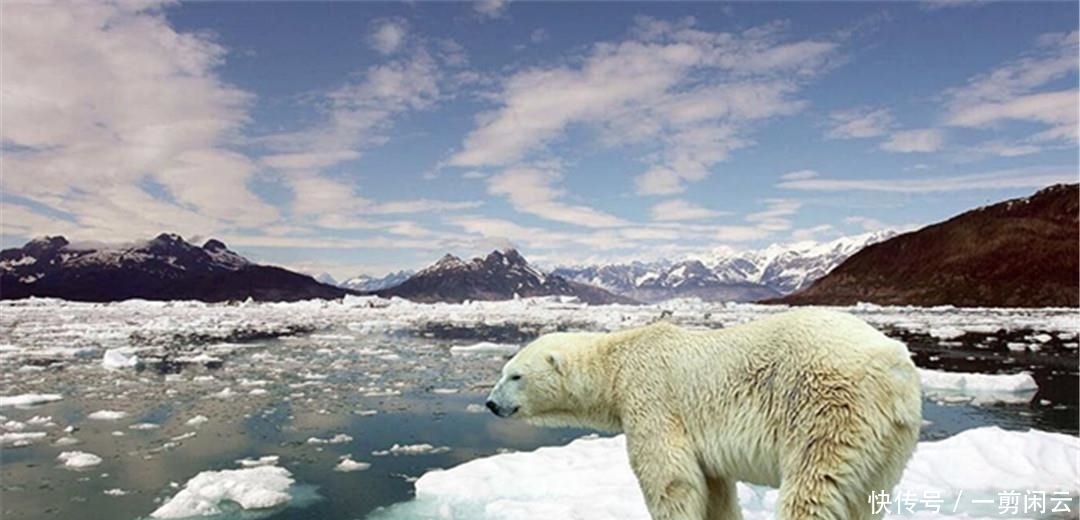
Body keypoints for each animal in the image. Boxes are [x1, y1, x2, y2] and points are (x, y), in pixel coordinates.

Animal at [490, 307, 920, 518]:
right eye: (503, 371)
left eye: (515, 375)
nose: (492, 404)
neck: (618, 363)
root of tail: (892, 366)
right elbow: (714, 489)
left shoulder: (651, 398)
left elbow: (669, 479)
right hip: (889, 441)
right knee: (864, 498)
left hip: (826, 411)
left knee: (813, 488)